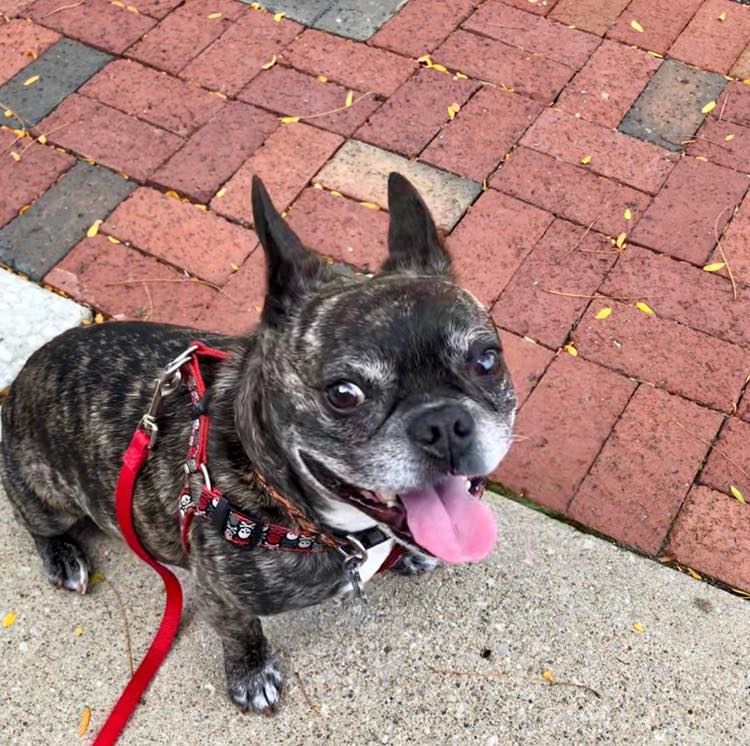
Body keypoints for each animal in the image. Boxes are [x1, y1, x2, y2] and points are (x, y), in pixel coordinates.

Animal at [0, 173, 516, 708]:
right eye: (344, 394)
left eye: (487, 361)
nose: (443, 423)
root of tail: (18, 385)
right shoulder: (218, 596)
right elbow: (241, 630)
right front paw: (251, 673)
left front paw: (409, 554)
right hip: (48, 497)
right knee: (34, 521)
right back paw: (63, 556)